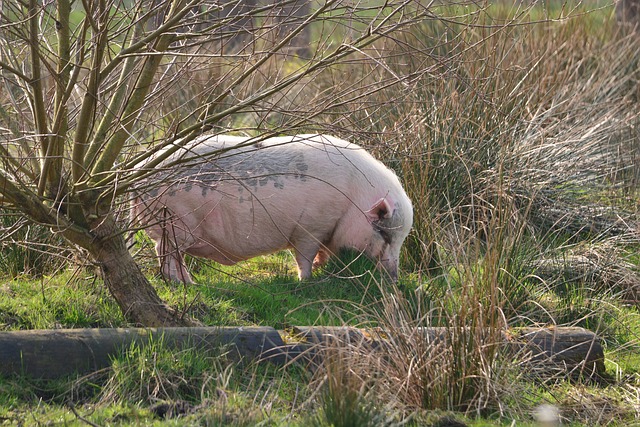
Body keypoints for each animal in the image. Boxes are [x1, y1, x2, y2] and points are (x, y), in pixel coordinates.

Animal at [132, 134, 412, 286]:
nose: (395, 279)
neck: (353, 199)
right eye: (384, 234)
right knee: (165, 252)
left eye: (401, 238)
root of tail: (138, 174)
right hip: (176, 221)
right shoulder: (310, 227)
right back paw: (184, 284)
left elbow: (322, 253)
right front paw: (306, 281)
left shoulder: (327, 231)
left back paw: (188, 283)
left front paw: (320, 267)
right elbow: (304, 256)